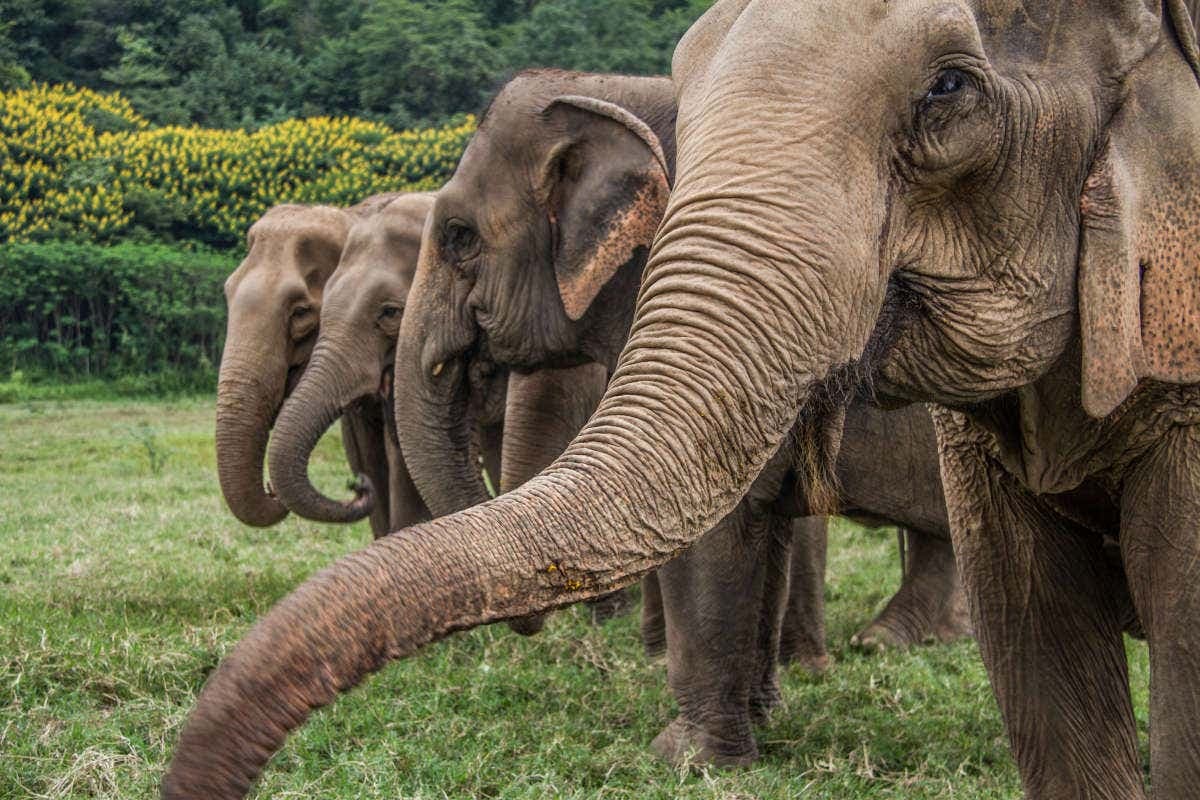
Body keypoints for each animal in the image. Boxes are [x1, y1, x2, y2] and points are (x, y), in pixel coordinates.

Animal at [163, 1, 1200, 795]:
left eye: (456, 240)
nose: (523, 631)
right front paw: (754, 716)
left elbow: (721, 520)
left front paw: (684, 754)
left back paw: (887, 646)